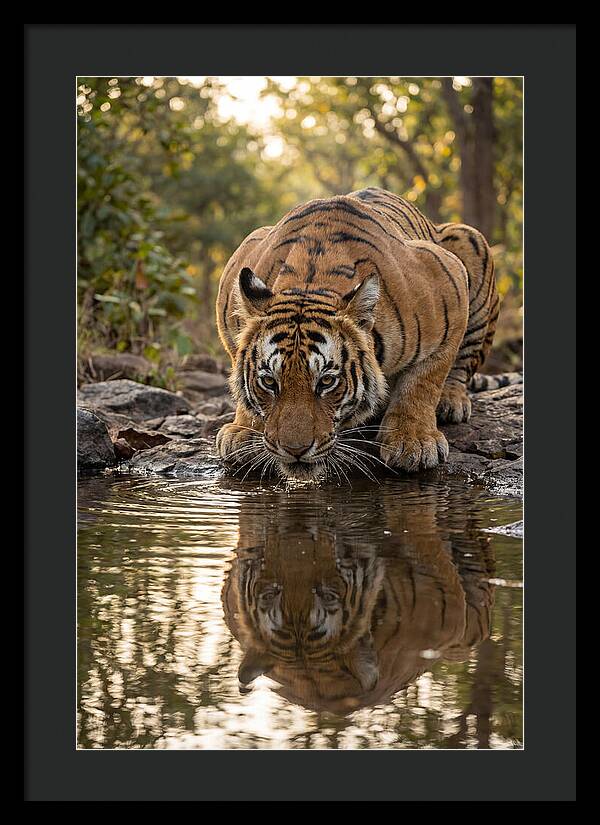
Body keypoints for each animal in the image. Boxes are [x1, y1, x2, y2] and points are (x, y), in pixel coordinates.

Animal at [215, 187, 507, 480]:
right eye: (269, 382)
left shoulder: (449, 281)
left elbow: (424, 381)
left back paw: (451, 401)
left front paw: (413, 441)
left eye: (326, 382)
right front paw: (243, 430)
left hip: (470, 239)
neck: (310, 282)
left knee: (463, 363)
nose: (294, 450)